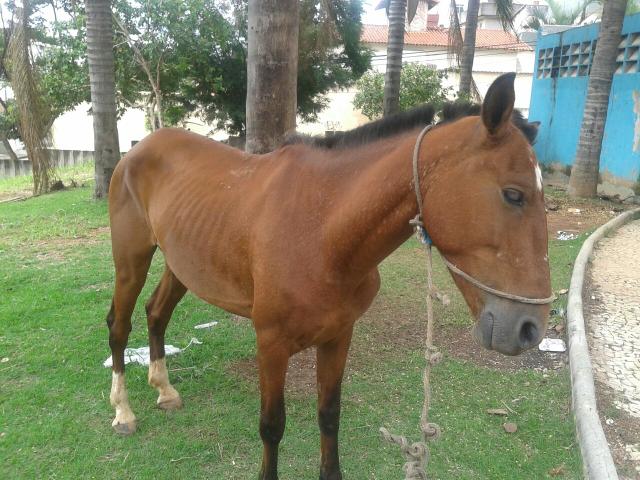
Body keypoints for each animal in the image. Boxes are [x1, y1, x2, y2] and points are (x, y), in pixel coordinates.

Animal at [104, 73, 552, 478]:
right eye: (514, 194)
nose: (529, 328)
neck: (321, 230)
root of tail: (139, 148)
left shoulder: (339, 336)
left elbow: (329, 414)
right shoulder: (270, 344)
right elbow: (272, 426)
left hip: (181, 264)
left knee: (156, 312)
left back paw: (165, 391)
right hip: (131, 260)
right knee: (119, 325)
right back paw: (123, 412)